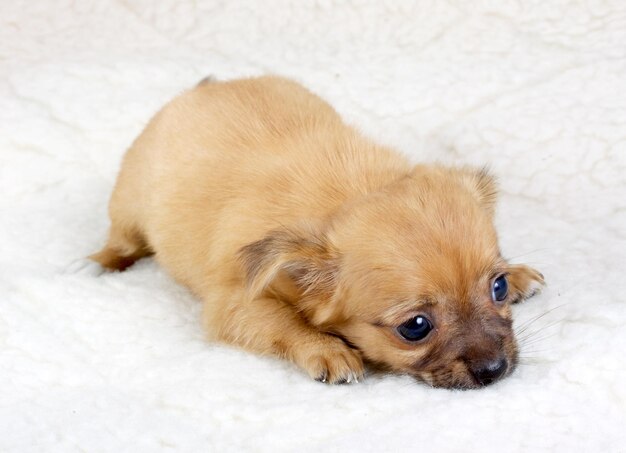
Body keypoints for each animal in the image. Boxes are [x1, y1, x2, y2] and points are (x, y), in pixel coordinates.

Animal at [88, 76, 540, 386]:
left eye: (497, 287)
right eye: (415, 327)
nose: (495, 369)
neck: (353, 193)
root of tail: (202, 88)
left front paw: (520, 275)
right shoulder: (235, 304)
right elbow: (283, 323)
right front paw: (326, 350)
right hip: (128, 204)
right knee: (121, 238)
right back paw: (104, 263)